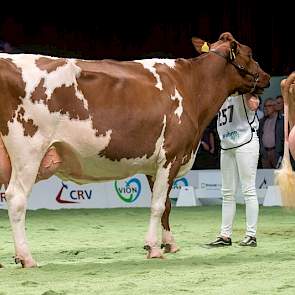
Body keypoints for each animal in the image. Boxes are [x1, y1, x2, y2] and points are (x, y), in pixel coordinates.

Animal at [0, 32, 272, 268]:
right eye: (250, 53)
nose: (267, 76)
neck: (191, 86)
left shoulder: (156, 165)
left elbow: (166, 205)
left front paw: (169, 244)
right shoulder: (171, 156)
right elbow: (158, 205)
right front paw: (153, 248)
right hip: (29, 151)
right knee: (16, 198)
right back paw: (26, 258)